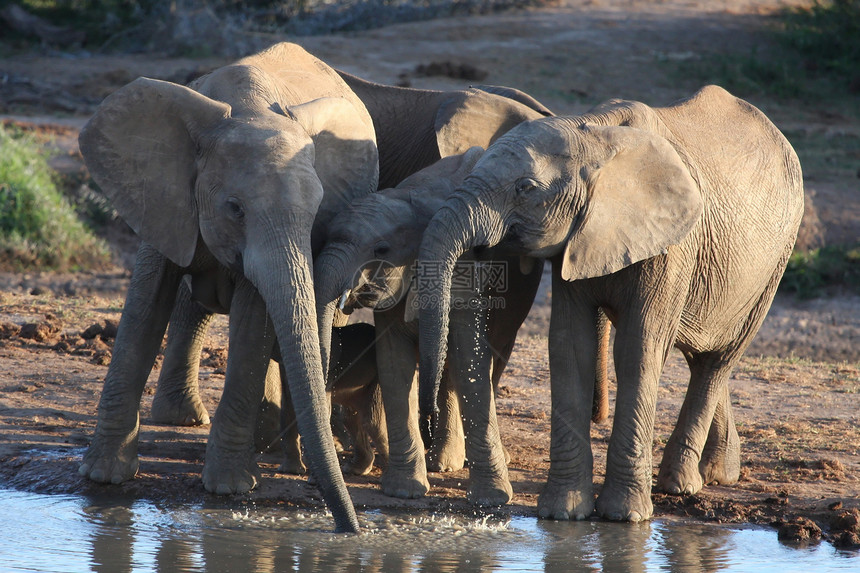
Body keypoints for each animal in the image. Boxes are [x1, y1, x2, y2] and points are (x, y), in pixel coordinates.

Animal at [78, 43, 380, 532]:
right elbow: (145, 305)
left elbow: (254, 320)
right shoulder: (162, 193)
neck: (247, 108)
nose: (353, 529)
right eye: (235, 208)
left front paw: (230, 489)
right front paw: (103, 477)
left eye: (318, 211)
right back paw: (189, 421)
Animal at [416, 86, 808, 524]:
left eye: (526, 188)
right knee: (700, 352)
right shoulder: (577, 237)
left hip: (775, 261)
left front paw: (624, 517)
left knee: (718, 359)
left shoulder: (672, 244)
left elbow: (638, 349)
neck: (594, 135)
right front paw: (563, 514)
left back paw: (680, 485)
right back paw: (717, 474)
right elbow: (571, 346)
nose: (427, 423)